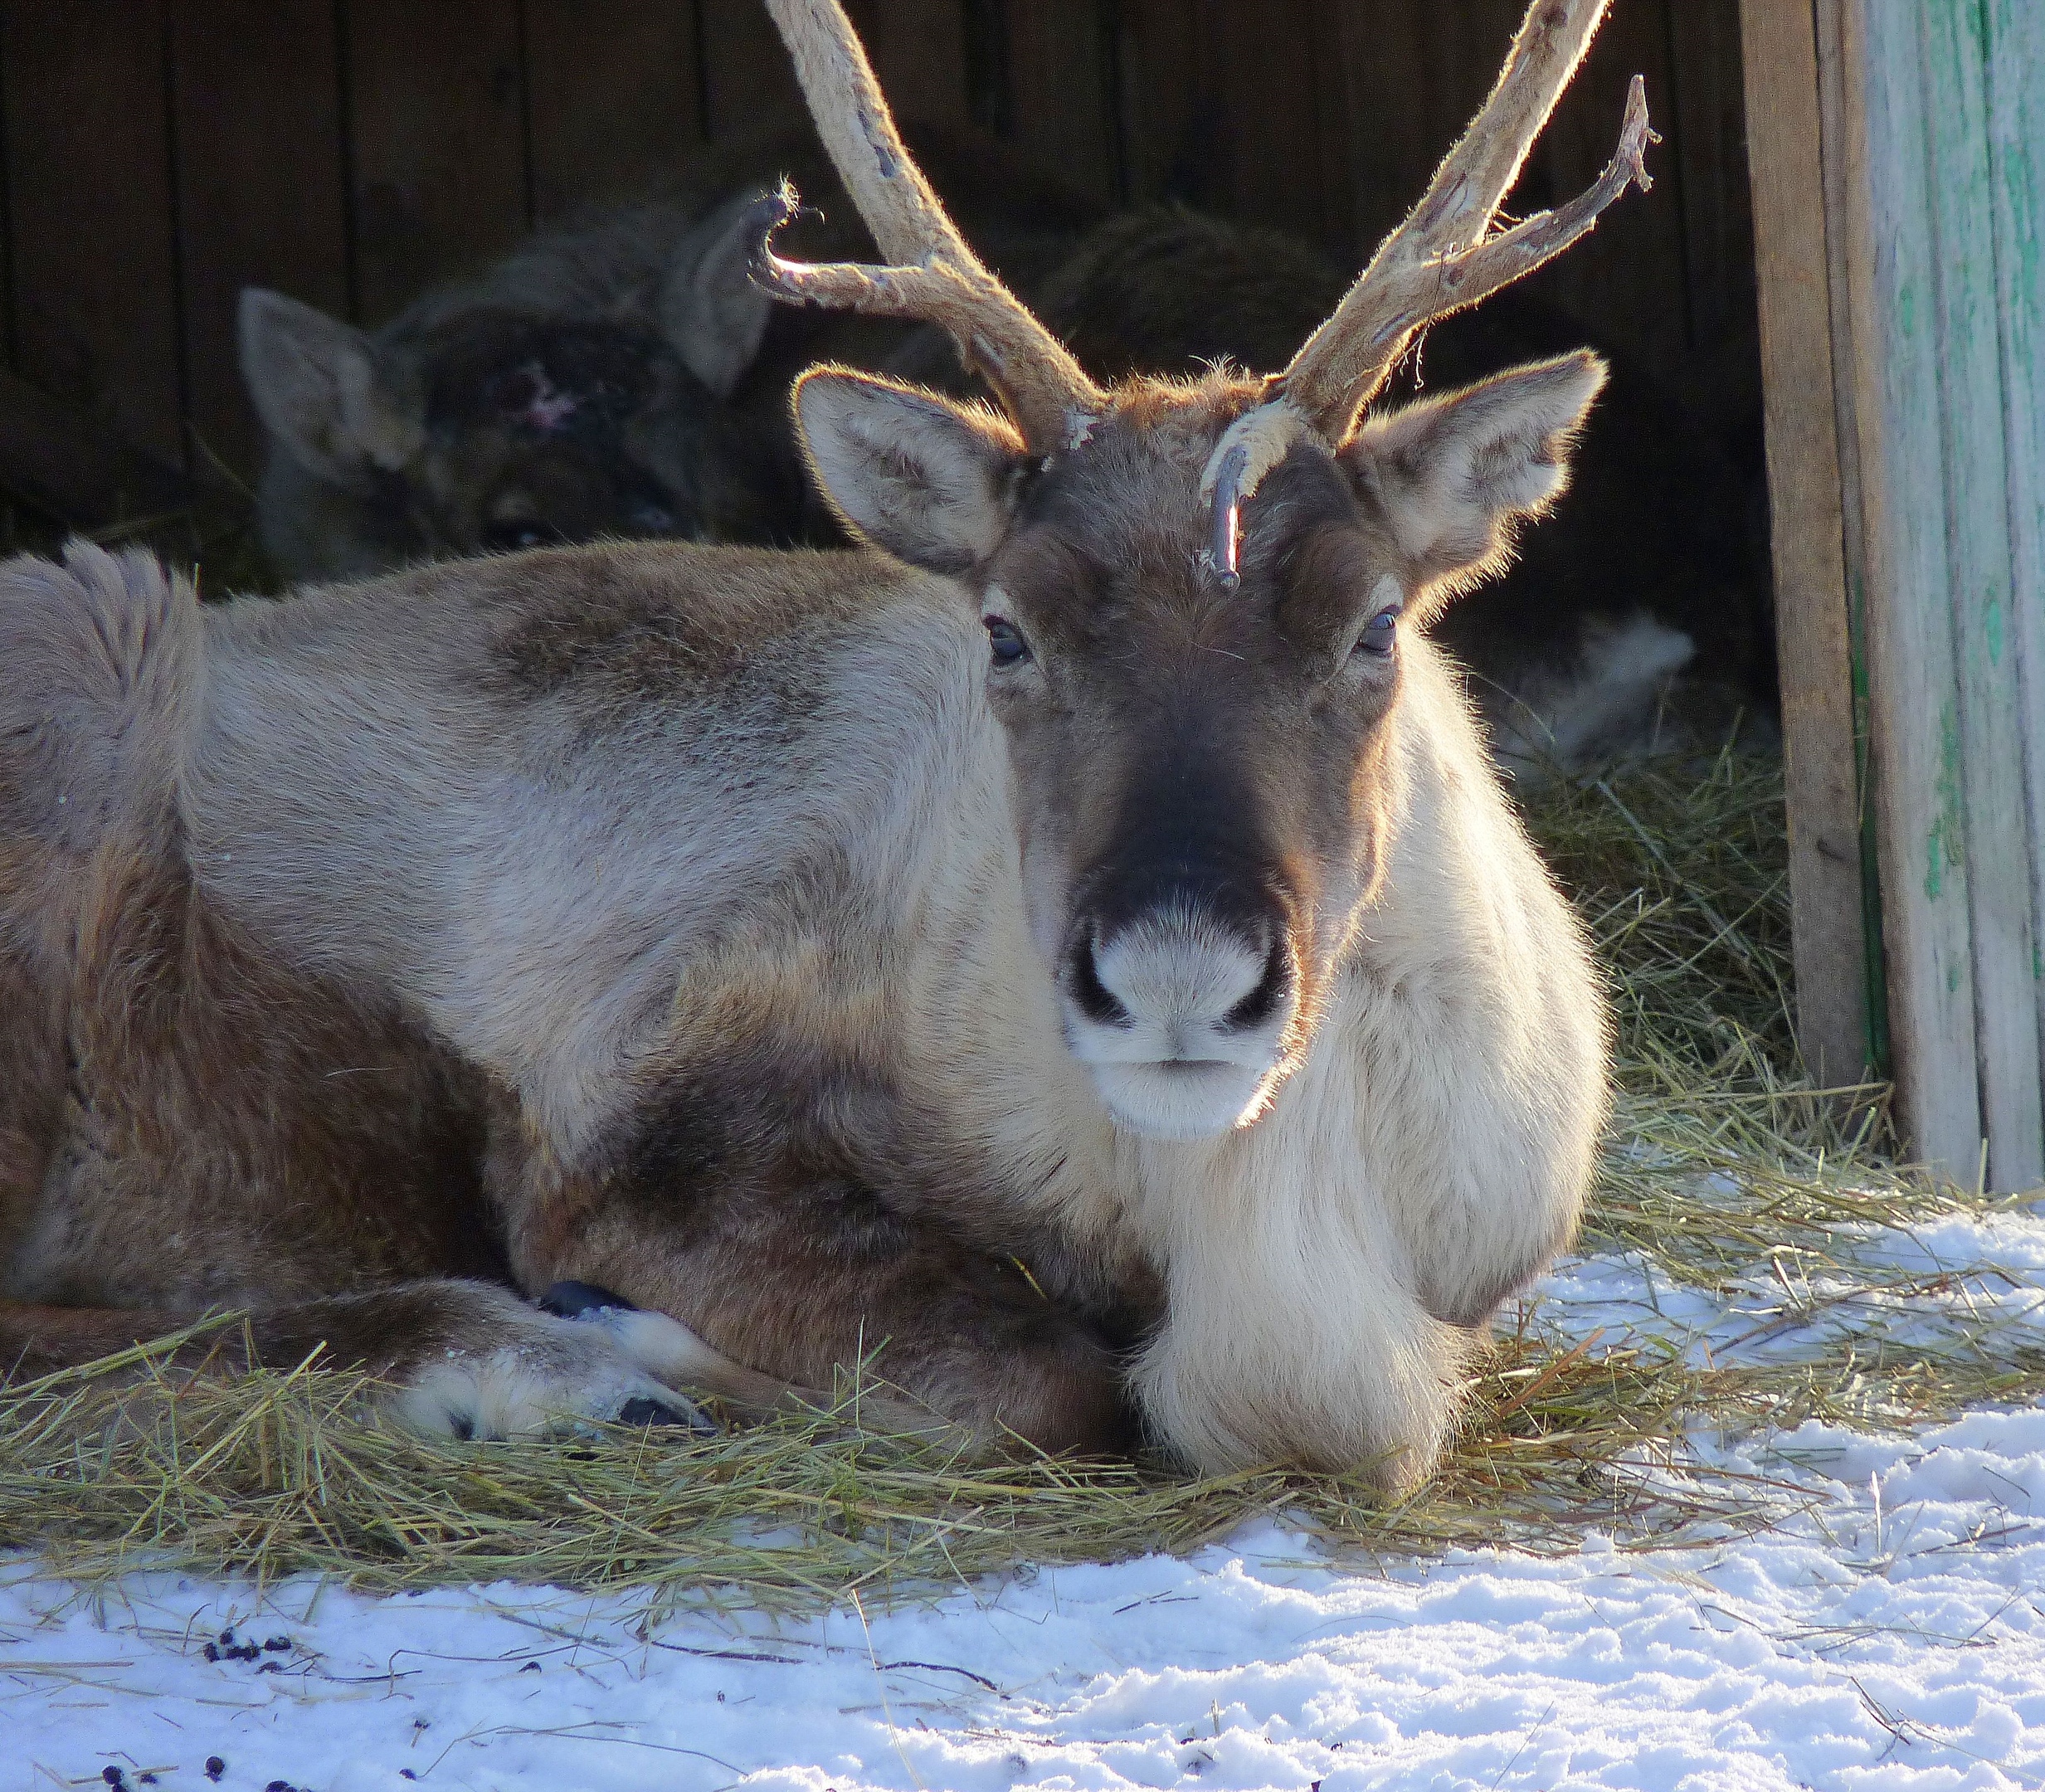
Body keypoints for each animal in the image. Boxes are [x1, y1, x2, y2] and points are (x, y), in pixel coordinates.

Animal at [0, 0, 1645, 1487]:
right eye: (1006, 629)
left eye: (1374, 624)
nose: (1177, 974)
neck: (1275, 1223)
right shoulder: (634, 1136)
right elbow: (1041, 1383)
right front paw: (635, 1347)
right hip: (91, 684)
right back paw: (522, 1368)